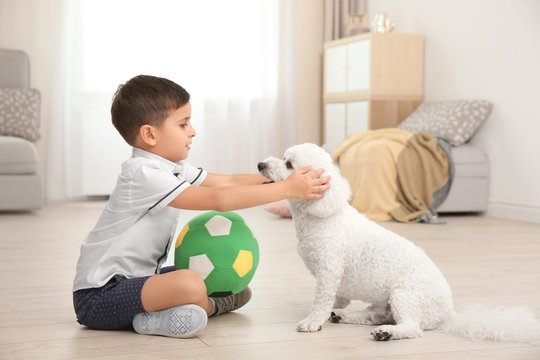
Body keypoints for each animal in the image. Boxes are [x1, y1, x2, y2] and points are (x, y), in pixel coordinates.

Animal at [258, 142, 540, 342]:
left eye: (289, 164)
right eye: (283, 157)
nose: (260, 164)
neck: (323, 213)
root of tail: (448, 313)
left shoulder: (329, 271)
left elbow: (322, 300)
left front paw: (313, 321)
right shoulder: (334, 278)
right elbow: (336, 298)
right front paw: (335, 310)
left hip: (404, 295)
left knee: (412, 328)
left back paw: (387, 333)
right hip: (387, 301)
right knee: (376, 314)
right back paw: (347, 317)